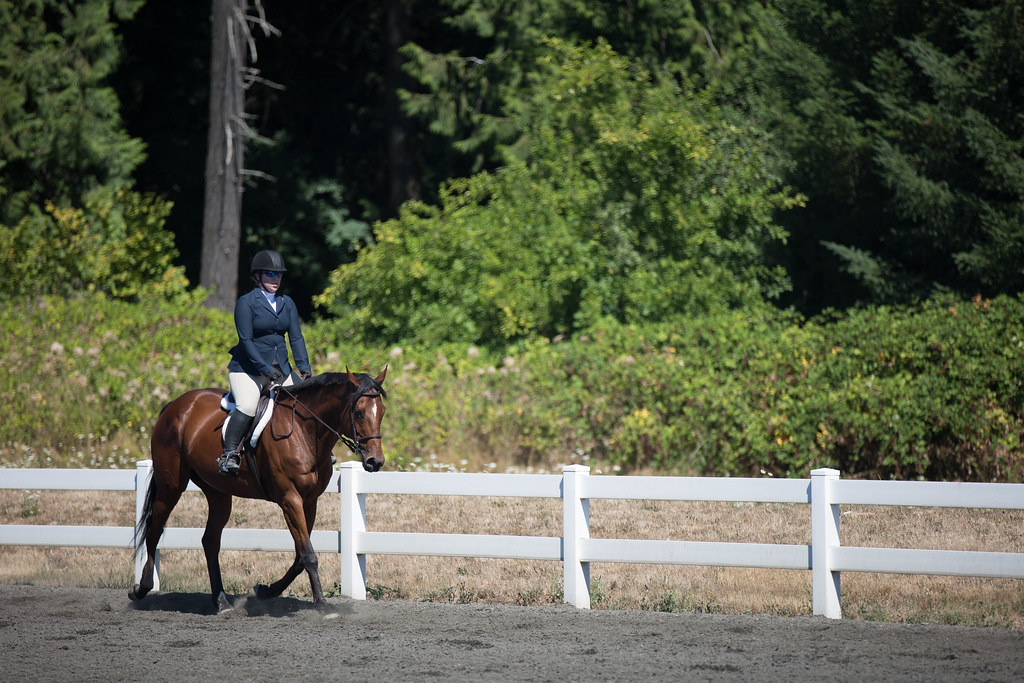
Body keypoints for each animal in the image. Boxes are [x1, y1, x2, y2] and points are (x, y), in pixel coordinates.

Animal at [129, 368, 387, 615]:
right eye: (358, 412)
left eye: (382, 412)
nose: (375, 462)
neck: (304, 431)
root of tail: (174, 405)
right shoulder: (290, 499)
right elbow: (309, 555)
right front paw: (323, 605)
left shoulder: (309, 501)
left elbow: (300, 557)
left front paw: (261, 592)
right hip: (171, 485)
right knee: (154, 530)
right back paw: (141, 589)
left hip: (218, 493)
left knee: (210, 541)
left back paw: (222, 602)